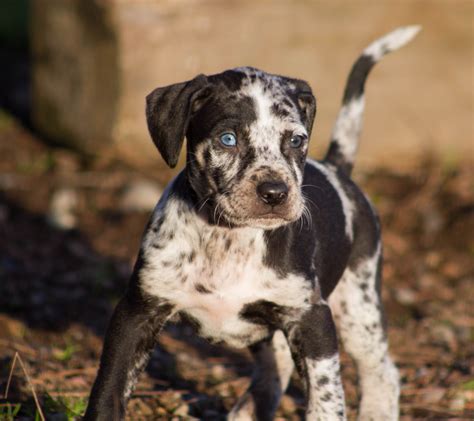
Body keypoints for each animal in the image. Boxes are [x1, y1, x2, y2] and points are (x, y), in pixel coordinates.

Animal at [84, 27, 418, 420]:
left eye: (296, 140)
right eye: (228, 139)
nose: (275, 192)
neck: (228, 238)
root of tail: (338, 168)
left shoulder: (312, 320)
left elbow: (326, 401)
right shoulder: (137, 313)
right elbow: (108, 391)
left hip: (358, 305)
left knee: (382, 371)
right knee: (277, 368)